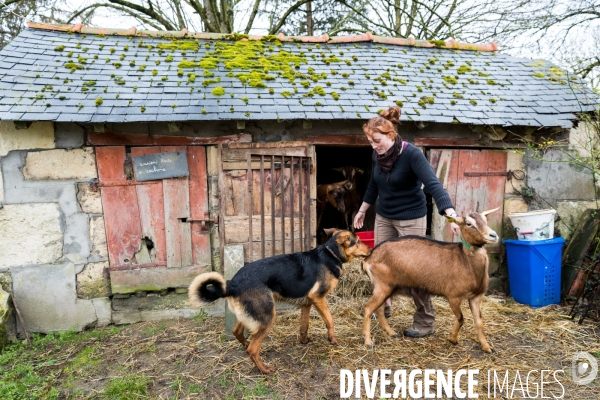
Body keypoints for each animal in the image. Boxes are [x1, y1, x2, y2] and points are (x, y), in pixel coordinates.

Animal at [188, 230, 370, 374]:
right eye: (358, 241)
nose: (370, 249)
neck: (330, 254)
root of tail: (232, 283)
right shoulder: (318, 298)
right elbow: (330, 320)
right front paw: (332, 339)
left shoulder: (307, 303)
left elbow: (304, 325)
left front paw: (304, 341)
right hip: (268, 315)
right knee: (253, 349)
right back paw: (264, 369)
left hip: (252, 314)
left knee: (238, 332)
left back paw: (246, 344)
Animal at [364, 208, 500, 352]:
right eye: (468, 223)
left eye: (485, 220)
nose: (493, 235)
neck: (467, 262)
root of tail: (369, 258)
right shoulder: (453, 297)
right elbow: (461, 318)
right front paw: (452, 339)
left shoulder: (476, 296)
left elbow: (479, 321)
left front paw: (486, 346)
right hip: (383, 286)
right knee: (368, 308)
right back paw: (368, 342)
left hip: (389, 287)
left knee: (379, 309)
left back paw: (391, 333)